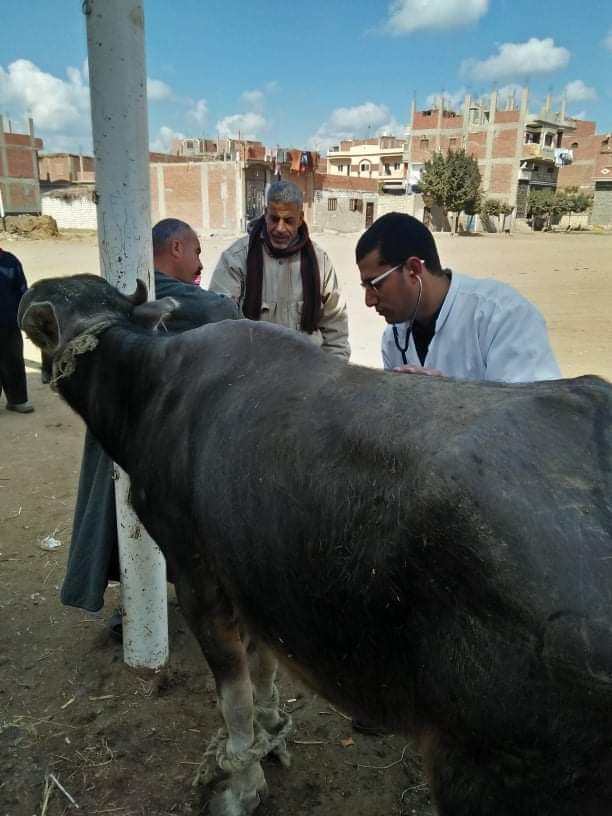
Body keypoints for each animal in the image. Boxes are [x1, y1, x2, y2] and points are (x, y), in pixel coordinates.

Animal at [17, 274, 612, 816]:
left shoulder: (197, 580)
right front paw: (272, 731)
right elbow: (264, 671)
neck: (151, 389)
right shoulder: (255, 580)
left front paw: (242, 784)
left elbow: (234, 700)